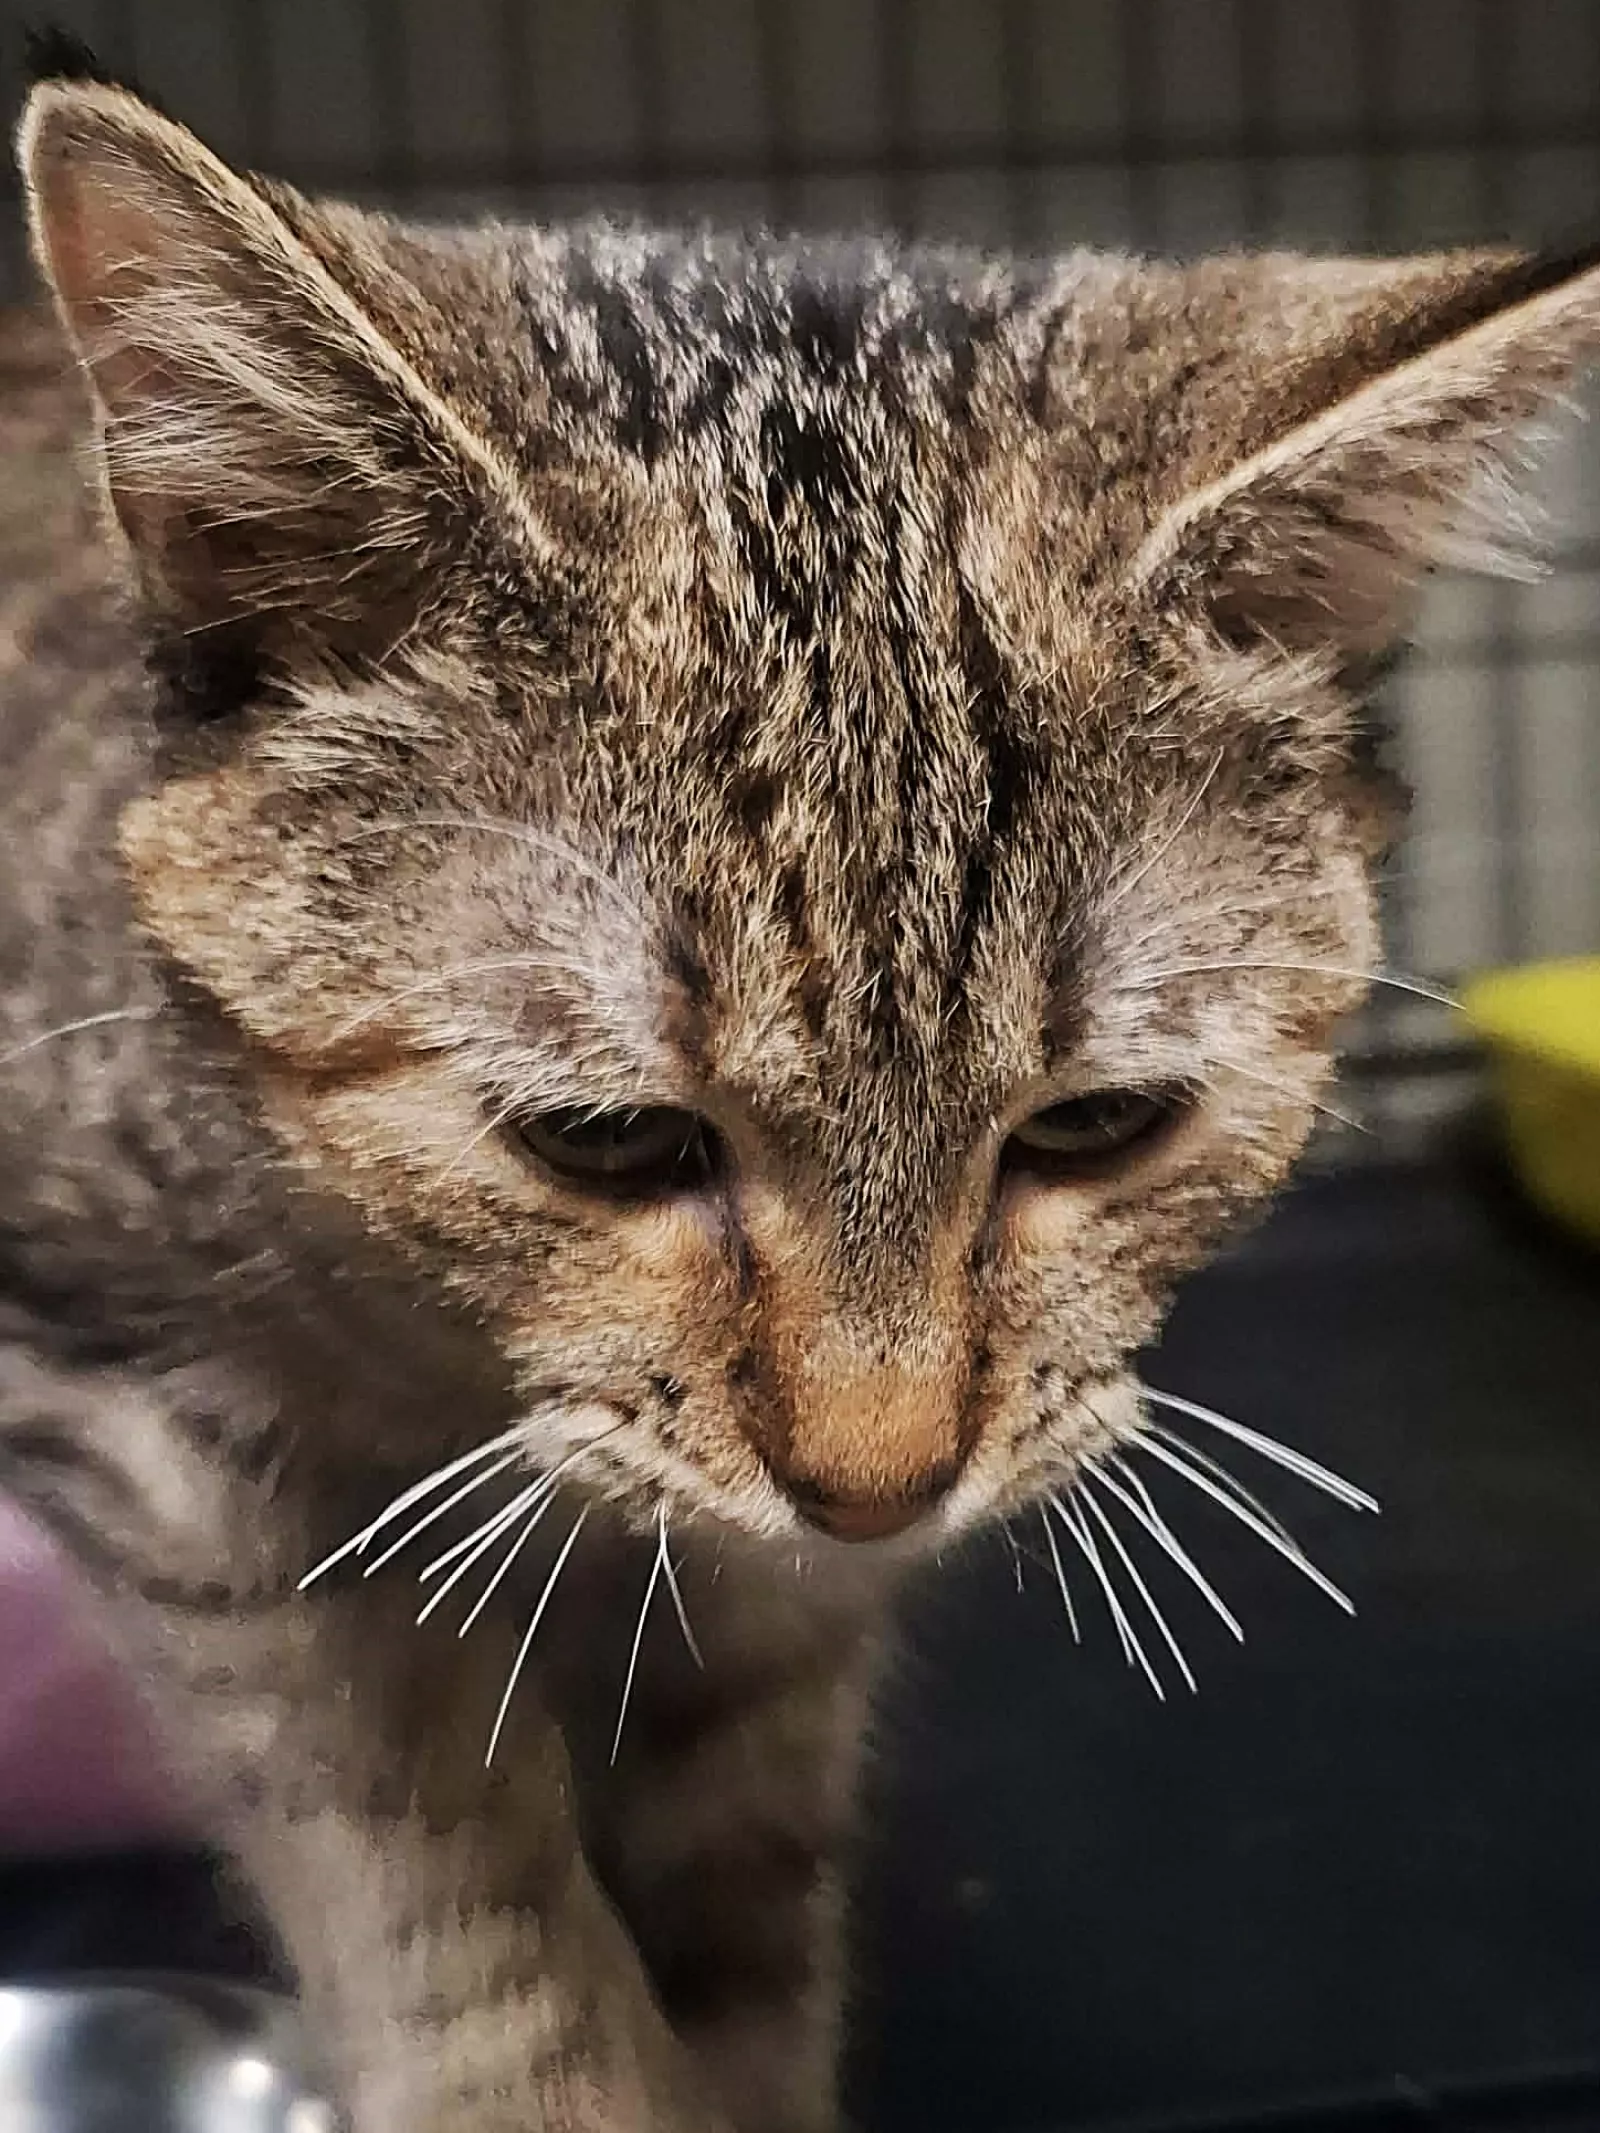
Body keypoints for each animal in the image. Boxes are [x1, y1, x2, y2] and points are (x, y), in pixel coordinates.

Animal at [4, 37, 1600, 2133]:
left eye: (1097, 1125)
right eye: (605, 1140)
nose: (877, 1481)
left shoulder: (777, 1625)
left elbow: (744, 1904)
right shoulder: (177, 1443)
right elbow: (445, 1880)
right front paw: (541, 2065)